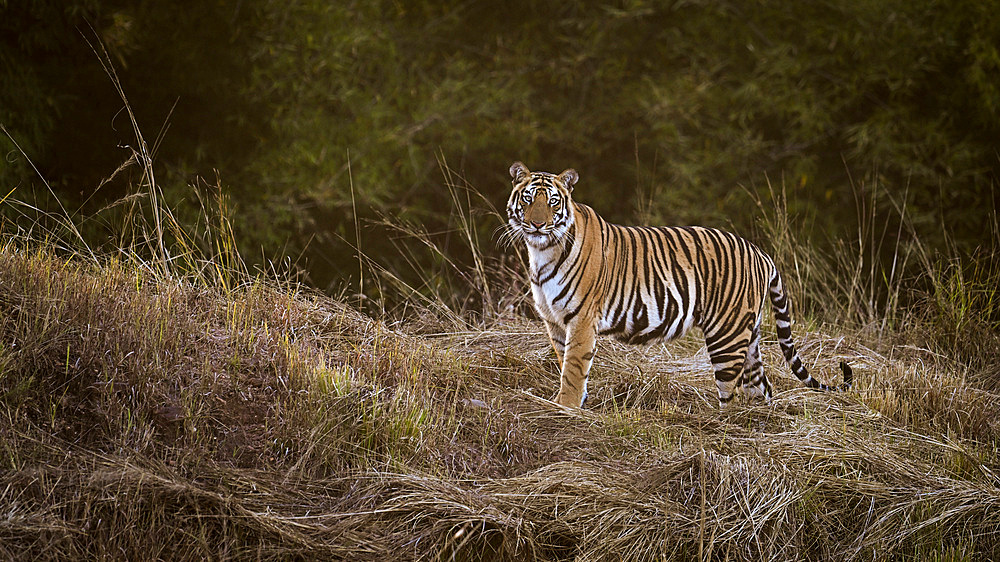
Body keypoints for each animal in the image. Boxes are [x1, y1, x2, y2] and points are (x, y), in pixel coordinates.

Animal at [504, 161, 848, 406]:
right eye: (528, 198)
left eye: (552, 202)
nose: (537, 224)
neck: (542, 251)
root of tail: (761, 252)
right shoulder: (555, 321)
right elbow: (564, 361)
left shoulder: (582, 320)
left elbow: (574, 369)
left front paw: (566, 408)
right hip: (749, 335)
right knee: (762, 388)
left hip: (727, 336)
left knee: (731, 395)